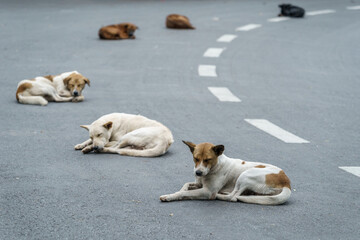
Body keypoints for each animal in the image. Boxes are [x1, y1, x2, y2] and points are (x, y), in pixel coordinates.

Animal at [159, 142, 292, 205]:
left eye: (207, 160)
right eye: (195, 158)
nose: (198, 172)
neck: (215, 166)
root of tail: (287, 182)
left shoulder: (207, 191)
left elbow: (184, 193)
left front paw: (170, 196)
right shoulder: (199, 184)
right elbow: (185, 185)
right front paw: (179, 191)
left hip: (245, 175)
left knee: (233, 197)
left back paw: (221, 195)